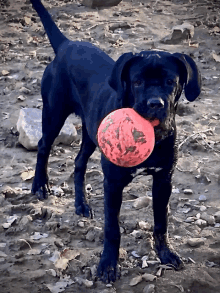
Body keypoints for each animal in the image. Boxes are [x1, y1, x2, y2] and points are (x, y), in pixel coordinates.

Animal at [30, 0, 202, 282]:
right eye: (137, 81)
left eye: (171, 81)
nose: (155, 104)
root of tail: (66, 44)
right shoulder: (113, 183)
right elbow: (112, 228)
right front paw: (108, 265)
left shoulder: (164, 180)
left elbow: (161, 222)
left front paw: (166, 253)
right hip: (54, 113)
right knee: (44, 147)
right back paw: (40, 185)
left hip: (91, 132)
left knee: (79, 162)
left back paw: (81, 204)